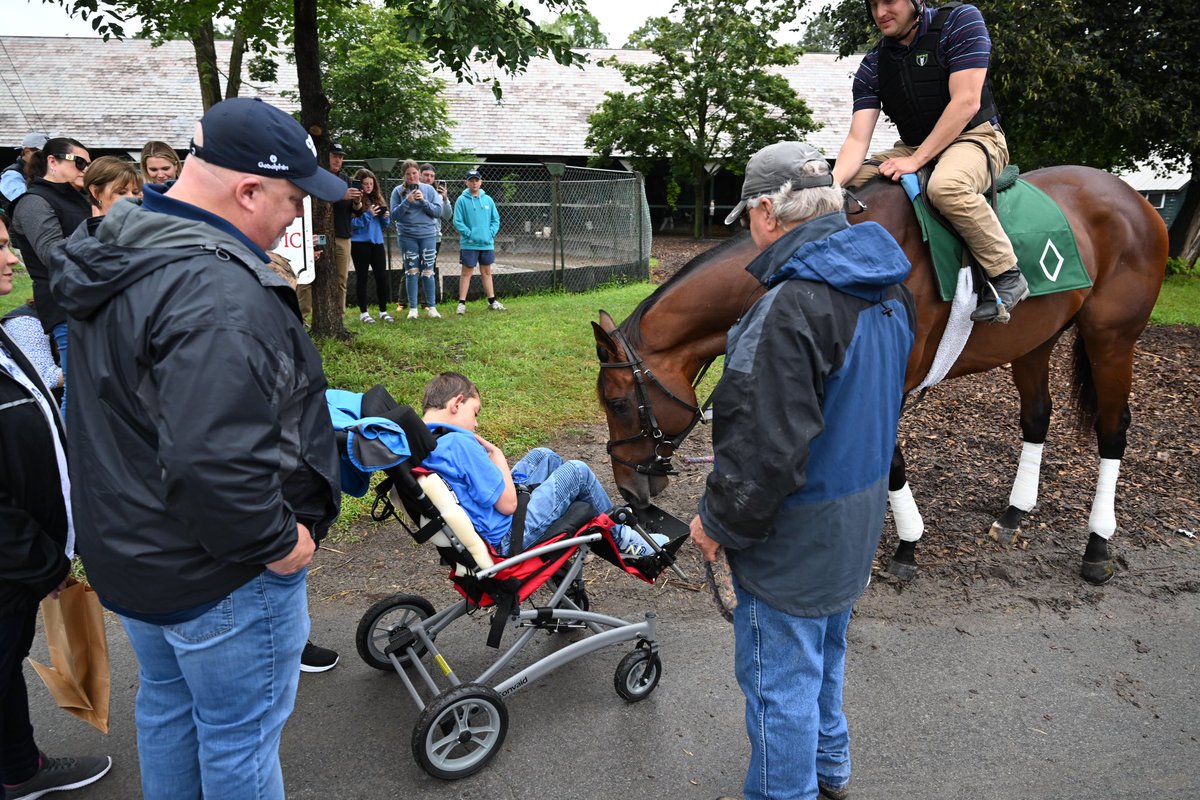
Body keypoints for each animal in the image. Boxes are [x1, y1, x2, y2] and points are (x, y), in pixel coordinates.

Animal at [595, 167, 1166, 582]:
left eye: (618, 403)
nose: (627, 489)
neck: (834, 257)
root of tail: (1133, 198)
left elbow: (889, 462)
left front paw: (907, 546)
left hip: (1112, 339)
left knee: (1114, 429)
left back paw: (1098, 542)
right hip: (1034, 340)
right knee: (1037, 417)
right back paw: (1014, 512)